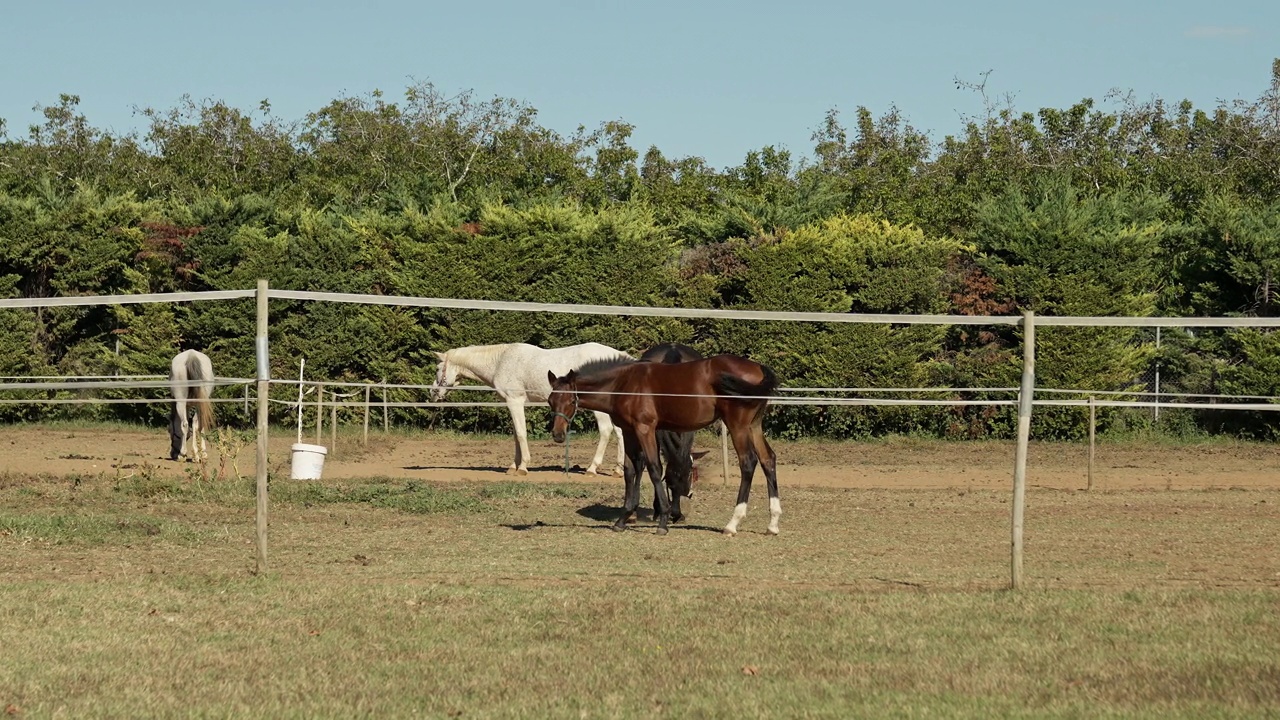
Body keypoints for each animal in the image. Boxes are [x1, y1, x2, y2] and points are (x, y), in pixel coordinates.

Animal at [430, 340, 629, 474]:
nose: (433, 392)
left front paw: (523, 467)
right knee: (620, 433)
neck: (500, 361)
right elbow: (515, 436)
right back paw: (618, 470)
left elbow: (520, 433)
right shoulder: (512, 403)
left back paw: (592, 468)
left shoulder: (515, 401)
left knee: (606, 431)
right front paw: (512, 467)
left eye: (438, 369)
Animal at [545, 353, 773, 532]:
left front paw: (663, 520)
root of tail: (758, 367)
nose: (558, 434)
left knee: (748, 462)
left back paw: (732, 524)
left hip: (738, 426)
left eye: (571, 401)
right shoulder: (629, 431)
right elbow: (630, 470)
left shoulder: (645, 429)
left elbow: (654, 468)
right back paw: (773, 524)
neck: (624, 383)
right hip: (754, 426)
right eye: (550, 401)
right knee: (768, 459)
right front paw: (623, 519)